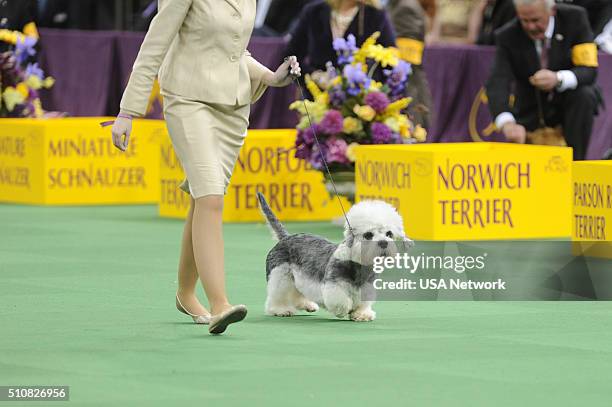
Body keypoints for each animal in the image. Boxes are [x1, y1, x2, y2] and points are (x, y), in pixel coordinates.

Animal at [256, 193, 414, 324]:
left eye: (389, 234)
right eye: (368, 235)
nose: (383, 243)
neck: (358, 265)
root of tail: (286, 237)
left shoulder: (366, 289)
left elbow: (362, 305)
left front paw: (362, 315)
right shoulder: (334, 286)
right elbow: (341, 301)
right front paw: (345, 309)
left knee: (297, 294)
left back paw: (308, 305)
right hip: (281, 276)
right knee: (277, 295)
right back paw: (280, 310)